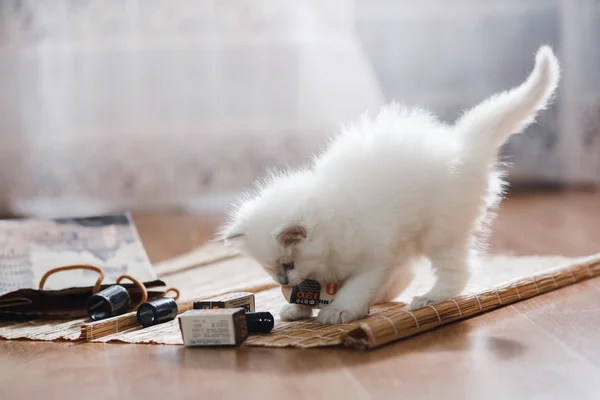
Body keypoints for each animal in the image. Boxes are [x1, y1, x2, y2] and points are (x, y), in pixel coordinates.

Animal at [218, 45, 560, 324]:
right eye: (268, 268)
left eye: (287, 263)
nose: (281, 281)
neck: (330, 223)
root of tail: (463, 146)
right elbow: (313, 287)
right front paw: (298, 307)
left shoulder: (373, 256)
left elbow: (356, 286)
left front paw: (339, 310)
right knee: (408, 272)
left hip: (440, 231)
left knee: (457, 272)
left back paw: (431, 297)